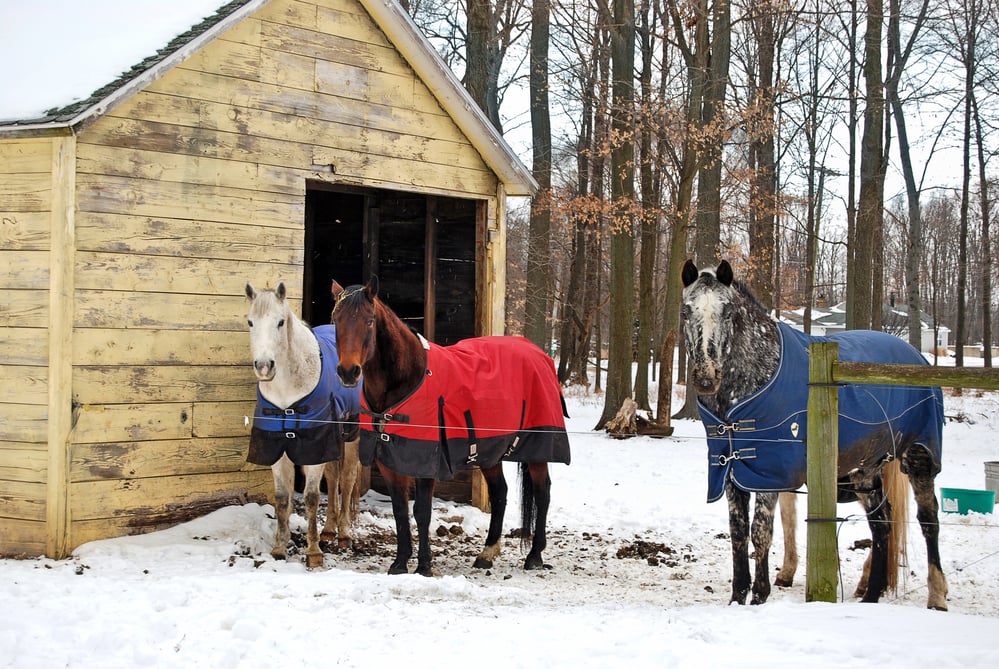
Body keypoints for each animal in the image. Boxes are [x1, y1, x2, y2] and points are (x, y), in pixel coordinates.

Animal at [245, 282, 364, 568]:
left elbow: (311, 497)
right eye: (250, 322)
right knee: (333, 478)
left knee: (347, 478)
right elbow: (281, 498)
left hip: (351, 433)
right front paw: (279, 547)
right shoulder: (278, 447)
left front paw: (313, 552)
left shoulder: (314, 446)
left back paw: (343, 533)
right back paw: (329, 530)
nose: (264, 367)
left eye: (280, 322)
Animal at [332, 276, 576, 576]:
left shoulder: (426, 462)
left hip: (537, 449)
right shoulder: (389, 461)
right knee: (500, 493)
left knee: (543, 493)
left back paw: (534, 556)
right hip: (489, 452)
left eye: (369, 321)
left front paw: (424, 566)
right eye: (335, 320)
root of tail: (539, 354)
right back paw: (487, 553)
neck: (406, 379)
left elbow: (422, 511)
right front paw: (400, 563)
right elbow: (400, 510)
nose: (348, 372)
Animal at [680, 260, 944, 612]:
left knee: (928, 520)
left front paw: (759, 596)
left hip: (918, 457)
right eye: (686, 311)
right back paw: (871, 594)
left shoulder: (769, 473)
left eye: (727, 312)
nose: (706, 378)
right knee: (881, 524)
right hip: (865, 470)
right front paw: (738, 597)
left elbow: (761, 531)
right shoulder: (732, 471)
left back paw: (937, 595)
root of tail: (917, 357)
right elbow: (738, 533)